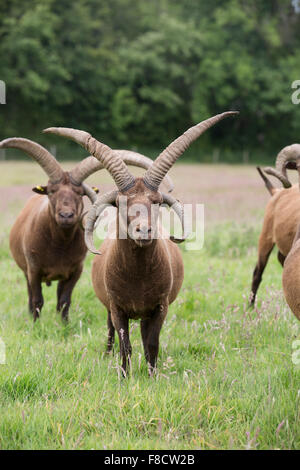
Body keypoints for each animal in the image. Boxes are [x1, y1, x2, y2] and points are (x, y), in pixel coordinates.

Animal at [0, 136, 172, 320]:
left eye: (79, 192)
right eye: (51, 191)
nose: (66, 216)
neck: (58, 245)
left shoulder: (75, 270)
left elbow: (64, 301)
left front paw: (64, 323)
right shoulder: (34, 269)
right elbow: (37, 300)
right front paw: (35, 324)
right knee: (30, 294)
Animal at [43, 111, 238, 374]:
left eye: (156, 201)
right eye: (121, 202)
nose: (143, 230)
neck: (137, 276)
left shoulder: (159, 307)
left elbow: (152, 344)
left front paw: (153, 375)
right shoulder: (117, 308)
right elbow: (125, 345)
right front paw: (124, 375)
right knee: (110, 332)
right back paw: (107, 354)